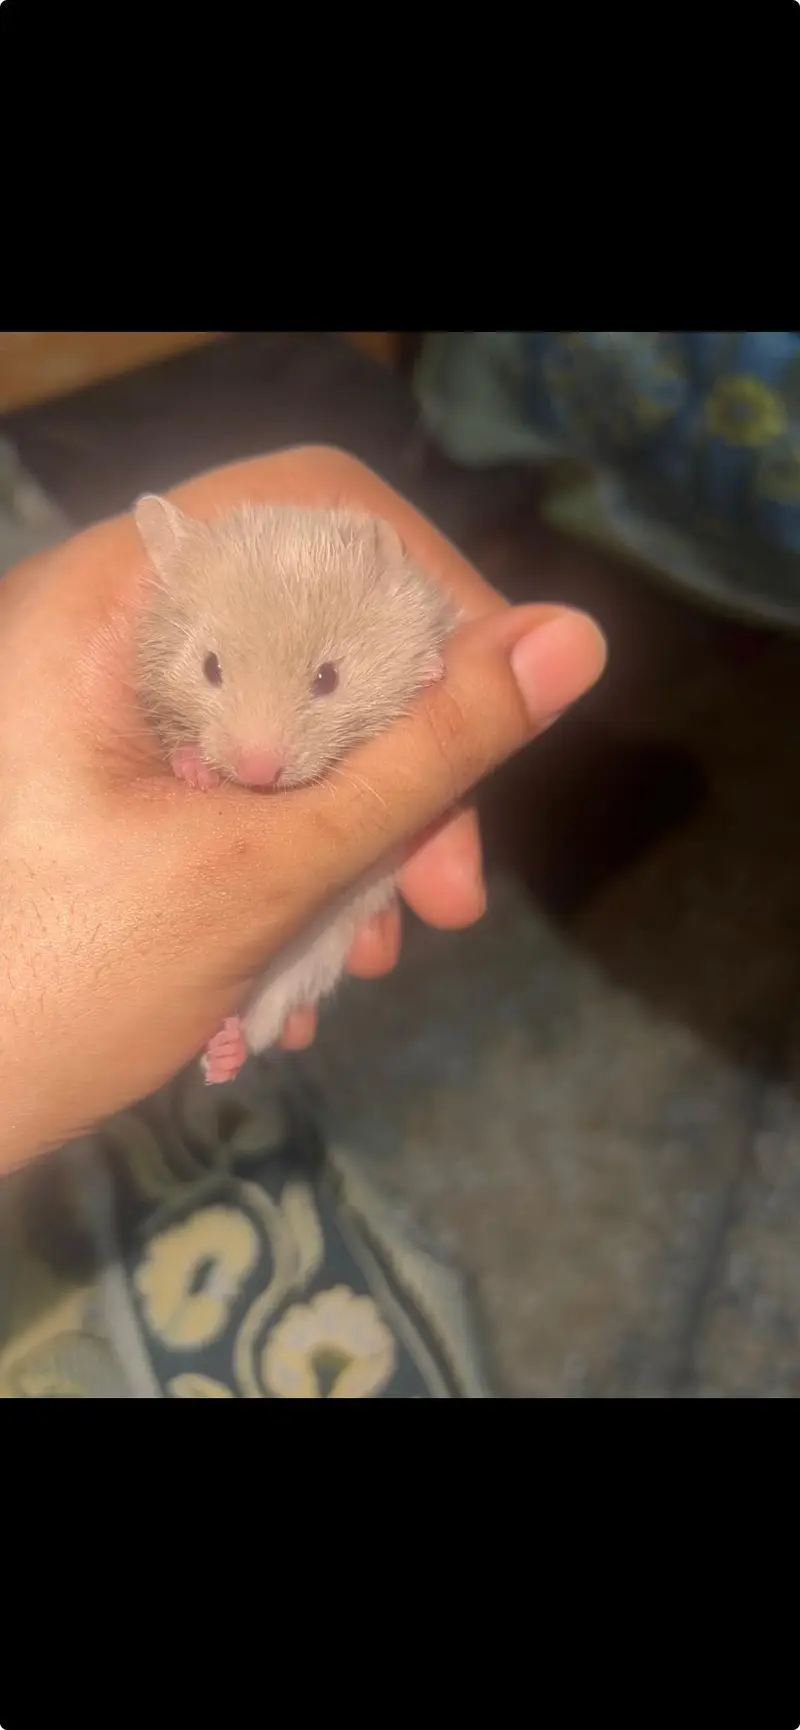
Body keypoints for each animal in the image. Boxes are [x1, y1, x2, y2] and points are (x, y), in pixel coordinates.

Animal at [134, 493, 456, 1084]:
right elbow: (174, 744)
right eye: (210, 667)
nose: (258, 774)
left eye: (327, 678)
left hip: (317, 955)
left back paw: (225, 1057)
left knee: (269, 1018)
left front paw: (431, 670)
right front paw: (195, 770)